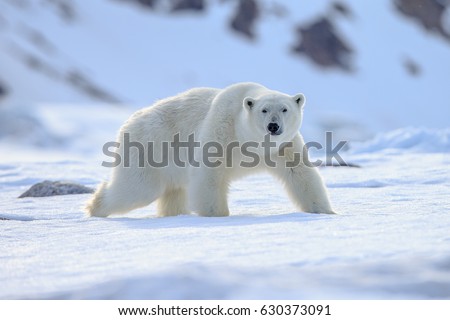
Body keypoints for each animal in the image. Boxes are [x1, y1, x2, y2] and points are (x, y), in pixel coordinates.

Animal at [86, 82, 336, 218]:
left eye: (285, 109)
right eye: (264, 110)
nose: (273, 126)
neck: (250, 140)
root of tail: (130, 121)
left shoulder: (284, 147)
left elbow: (301, 174)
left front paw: (326, 211)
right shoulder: (222, 128)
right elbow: (209, 174)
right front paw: (217, 215)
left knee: (173, 192)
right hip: (149, 147)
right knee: (137, 188)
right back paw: (94, 207)